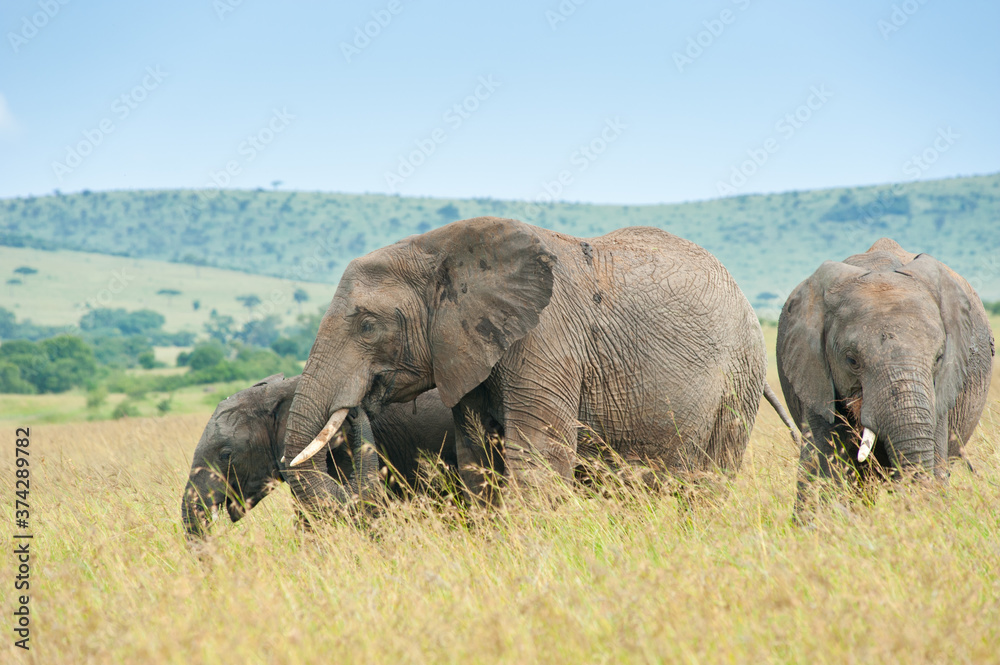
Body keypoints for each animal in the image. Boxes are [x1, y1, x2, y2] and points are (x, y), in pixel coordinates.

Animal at [284, 216, 796, 513]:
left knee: (709, 480)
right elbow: (478, 460)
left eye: (368, 326)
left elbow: (538, 458)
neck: (438, 249)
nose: (357, 407)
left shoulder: (547, 338)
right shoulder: (470, 351)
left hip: (738, 377)